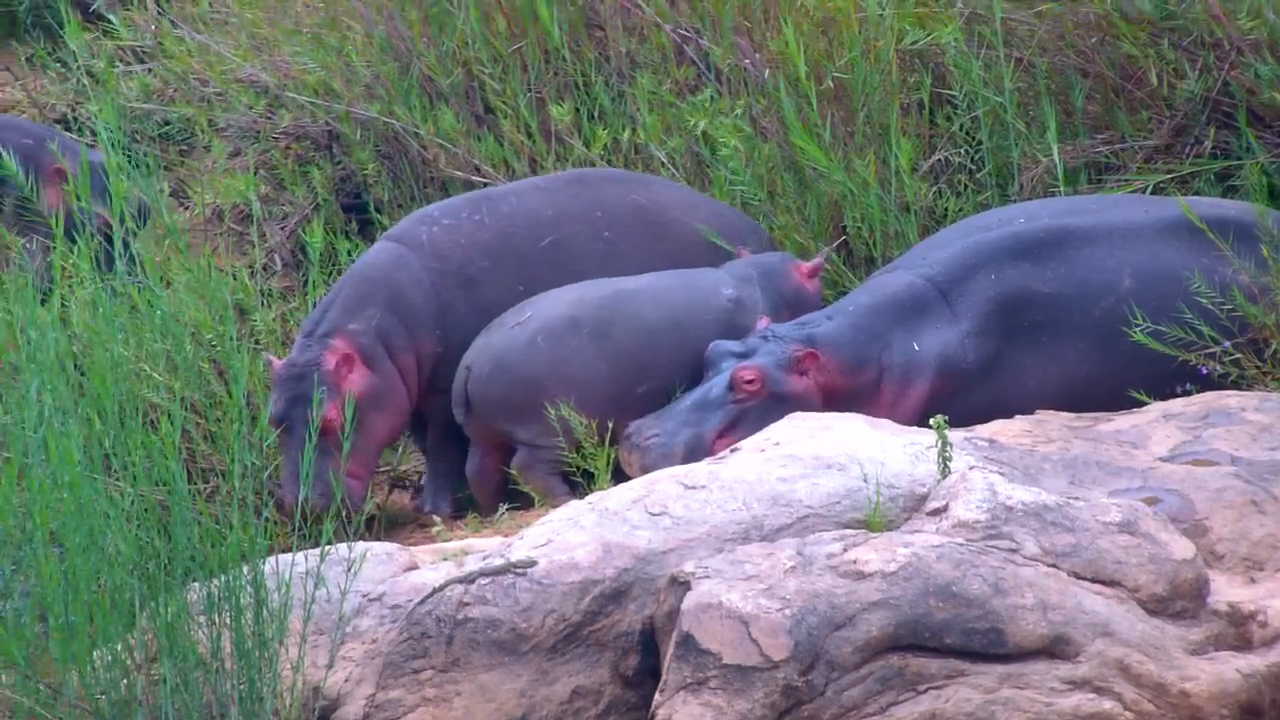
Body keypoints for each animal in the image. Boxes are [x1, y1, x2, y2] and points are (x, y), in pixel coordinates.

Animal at [265, 166, 781, 519]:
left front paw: (438, 510)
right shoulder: (403, 392)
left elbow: (440, 448)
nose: (299, 506)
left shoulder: (438, 394)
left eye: (331, 417)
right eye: (274, 421)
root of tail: (753, 226)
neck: (372, 341)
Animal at [450, 248, 829, 515]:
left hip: (484, 434)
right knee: (529, 468)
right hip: (551, 432)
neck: (761, 281)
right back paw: (566, 500)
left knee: (479, 470)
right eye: (817, 278)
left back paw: (499, 509)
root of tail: (469, 362)